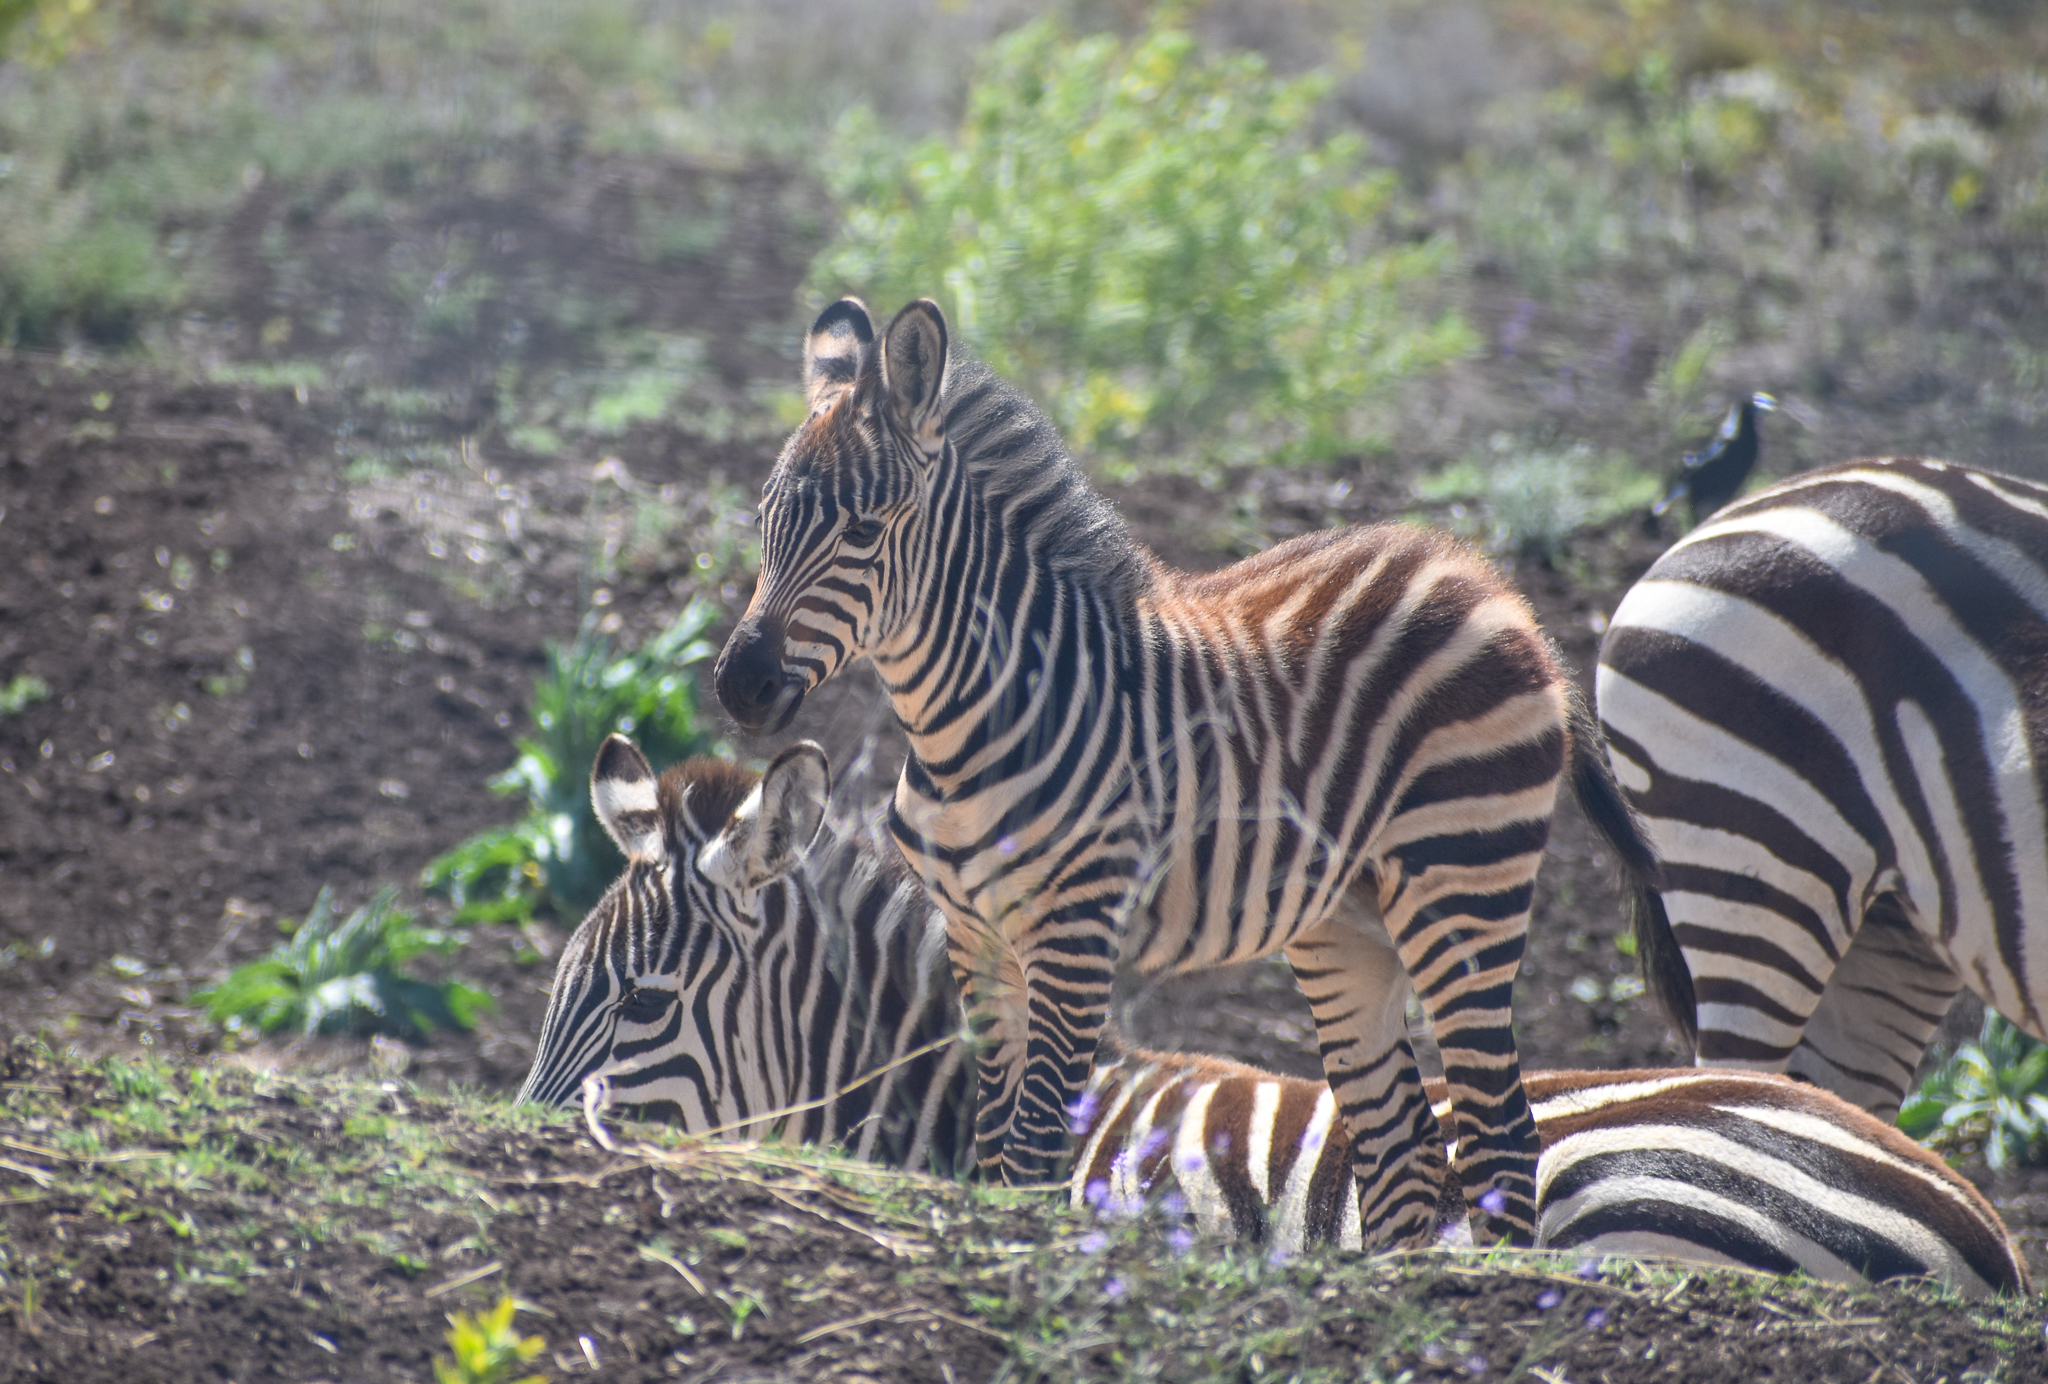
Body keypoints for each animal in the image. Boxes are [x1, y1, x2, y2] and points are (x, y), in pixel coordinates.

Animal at [711, 295, 1688, 1249]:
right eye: (763, 522)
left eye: (862, 532)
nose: (738, 686)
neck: (968, 722)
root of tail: (1498, 588)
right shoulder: (975, 935)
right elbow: (994, 1143)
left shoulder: (1076, 932)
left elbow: (1033, 1149)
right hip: (1347, 922)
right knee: (1401, 1148)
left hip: (1461, 883)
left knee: (1501, 1137)